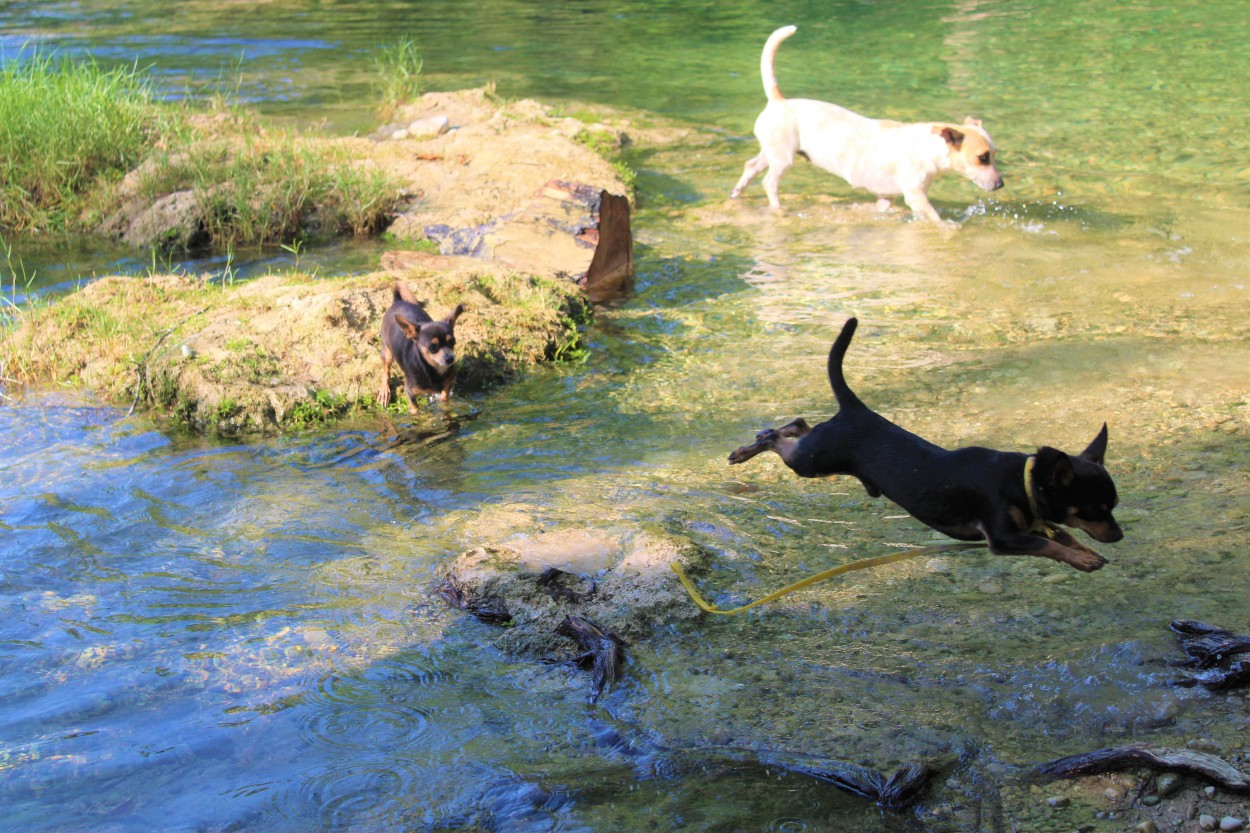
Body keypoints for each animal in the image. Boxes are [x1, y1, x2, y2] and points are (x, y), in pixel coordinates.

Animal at [377, 283, 467, 412]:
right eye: (432, 347)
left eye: (453, 342)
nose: (450, 358)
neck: (434, 369)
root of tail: (397, 301)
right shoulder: (410, 393)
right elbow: (415, 409)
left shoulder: (448, 385)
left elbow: (444, 398)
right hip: (387, 351)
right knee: (385, 370)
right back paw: (384, 390)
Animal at [730, 25, 1005, 223]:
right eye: (982, 158)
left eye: (994, 154)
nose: (1001, 184)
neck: (929, 148)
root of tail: (778, 100)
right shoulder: (916, 196)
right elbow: (935, 217)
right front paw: (950, 228)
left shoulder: (887, 197)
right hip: (783, 158)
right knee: (769, 183)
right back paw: (778, 209)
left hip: (771, 152)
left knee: (750, 166)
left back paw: (736, 195)